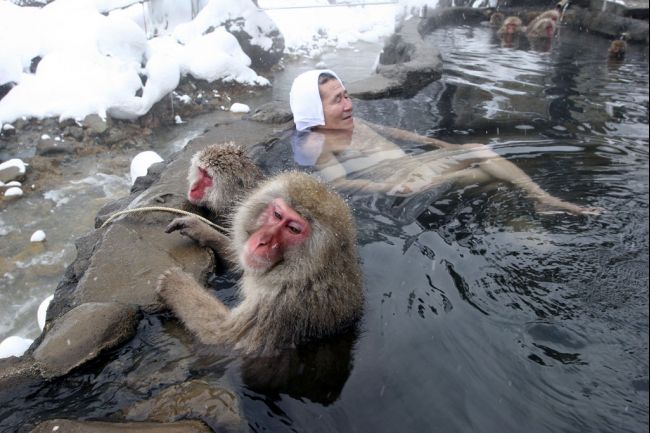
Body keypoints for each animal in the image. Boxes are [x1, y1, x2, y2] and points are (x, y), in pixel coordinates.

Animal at [155, 170, 362, 356]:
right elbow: (241, 261)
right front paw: (202, 230)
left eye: (293, 229)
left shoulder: (282, 305)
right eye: (277, 215)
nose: (263, 241)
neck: (308, 273)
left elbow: (225, 338)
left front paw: (175, 283)